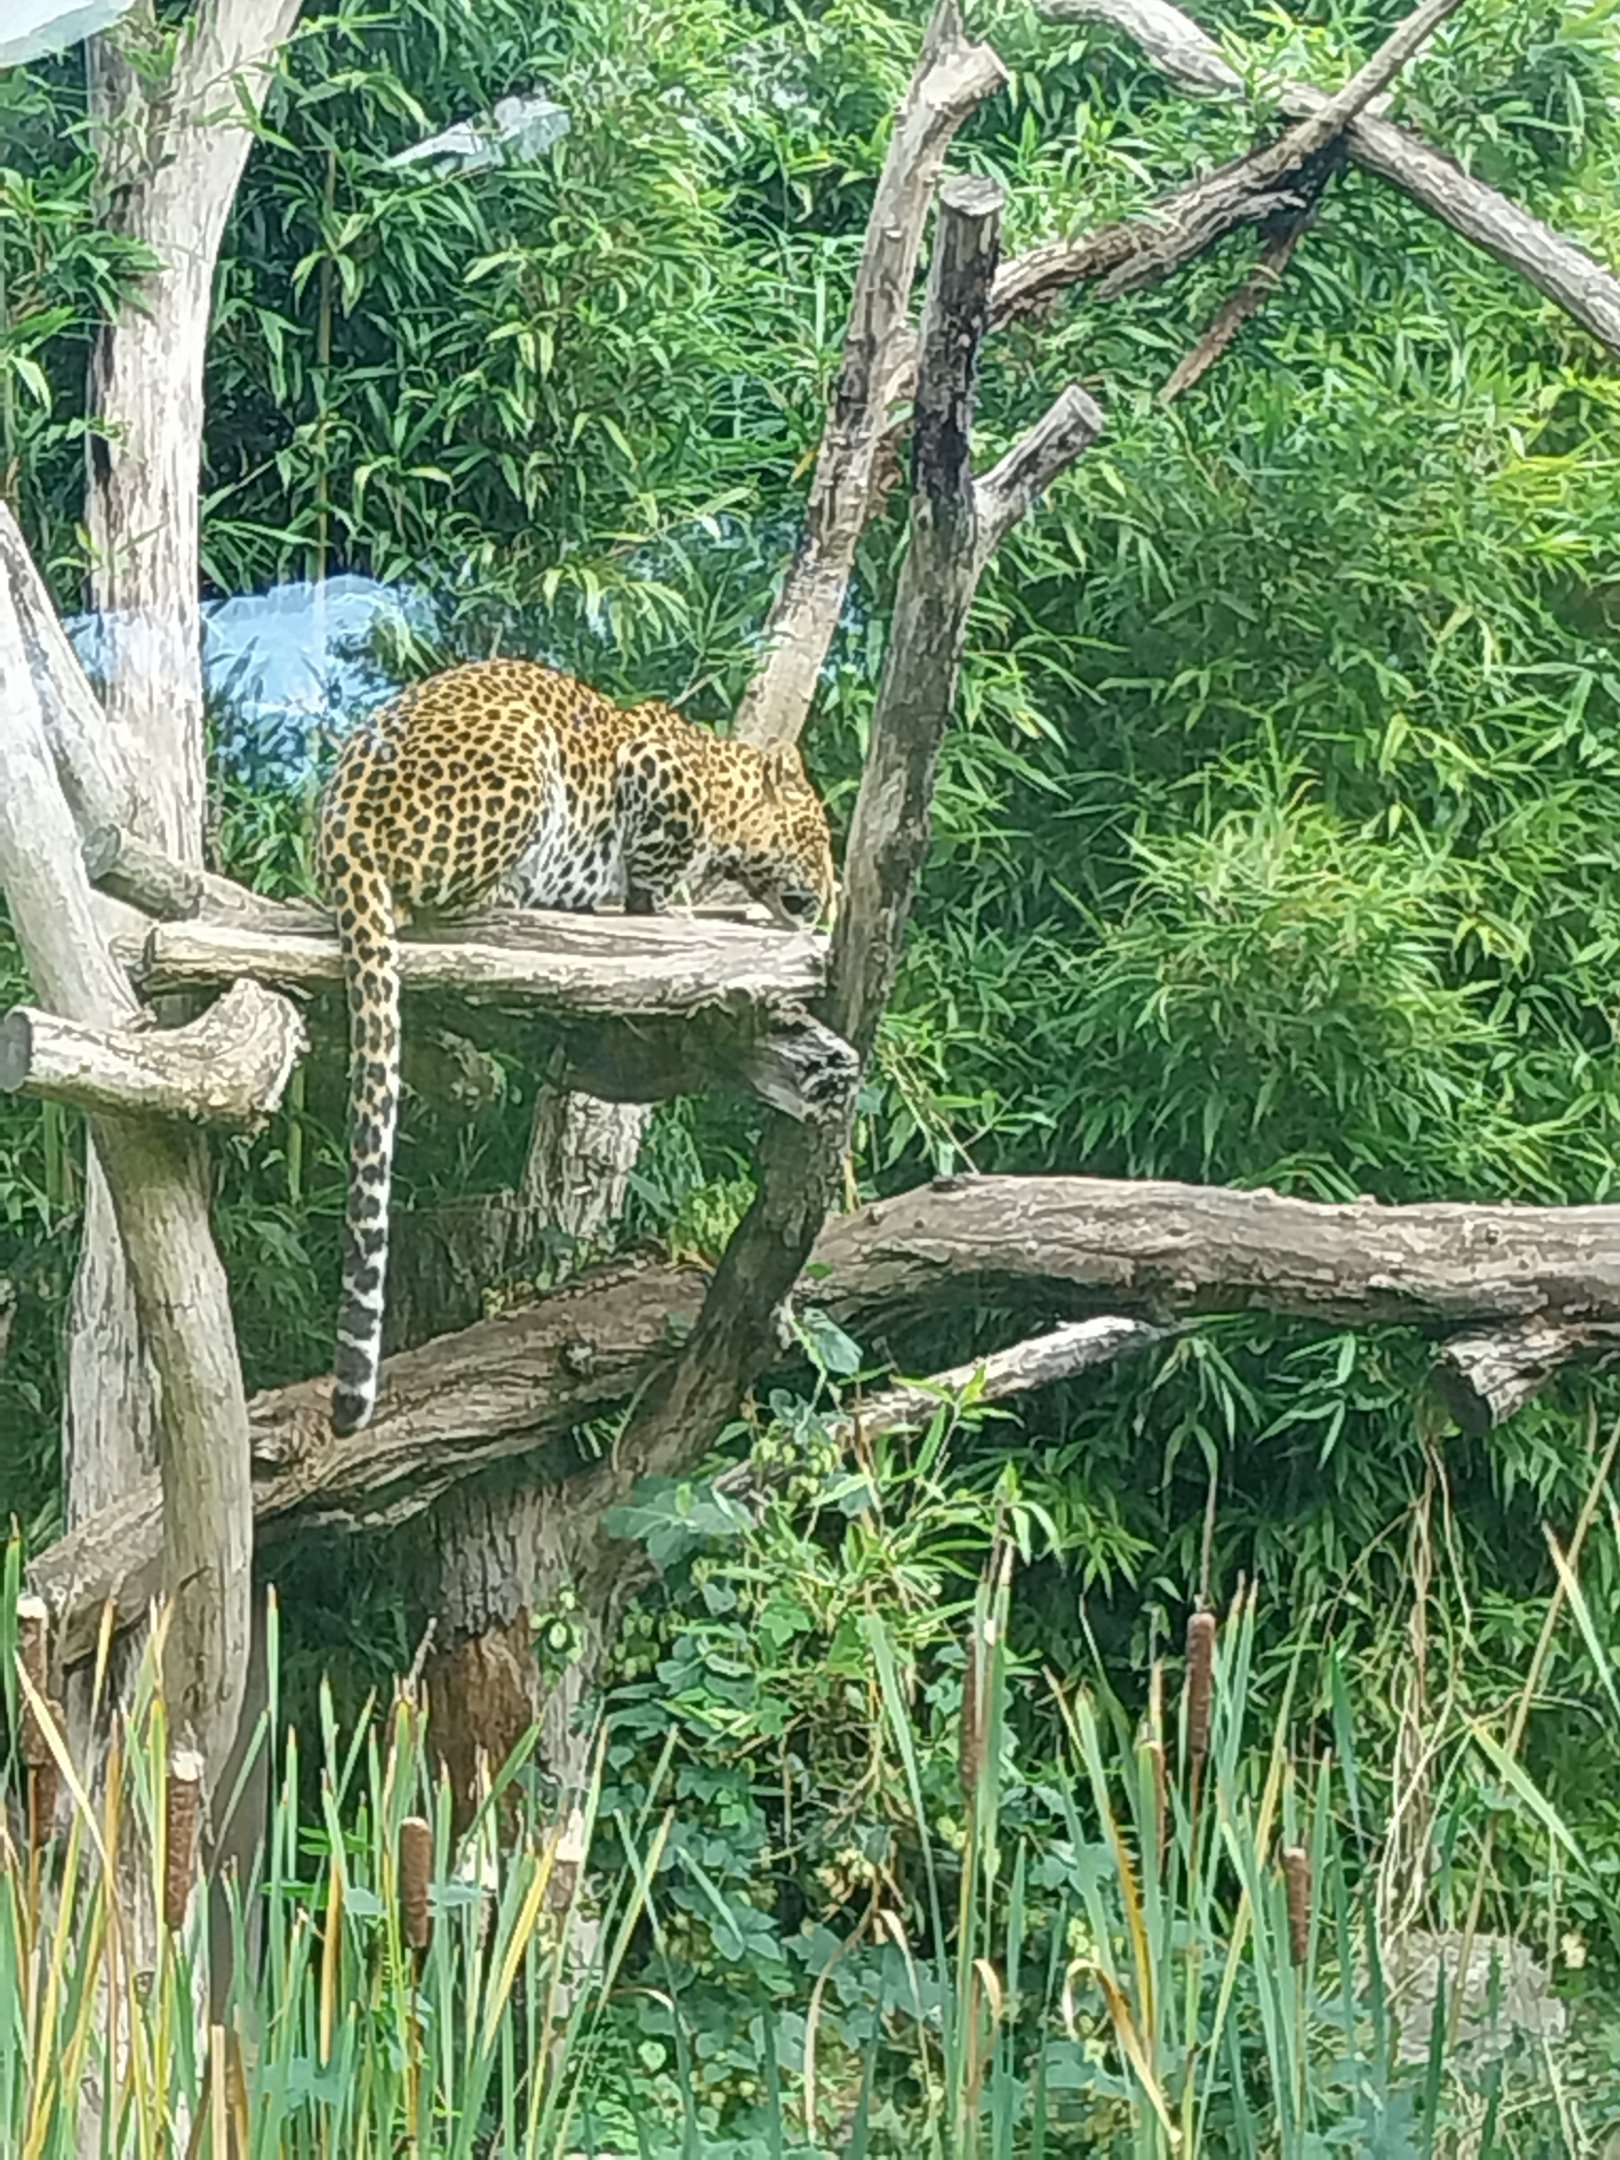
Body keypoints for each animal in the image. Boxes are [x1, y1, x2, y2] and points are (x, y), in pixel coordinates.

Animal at [315, 657, 836, 1438]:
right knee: (431, 901)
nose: (831, 893)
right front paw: (680, 906)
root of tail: (342, 818)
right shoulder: (653, 774)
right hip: (524, 760)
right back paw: (522, 893)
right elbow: (659, 874)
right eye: (818, 837)